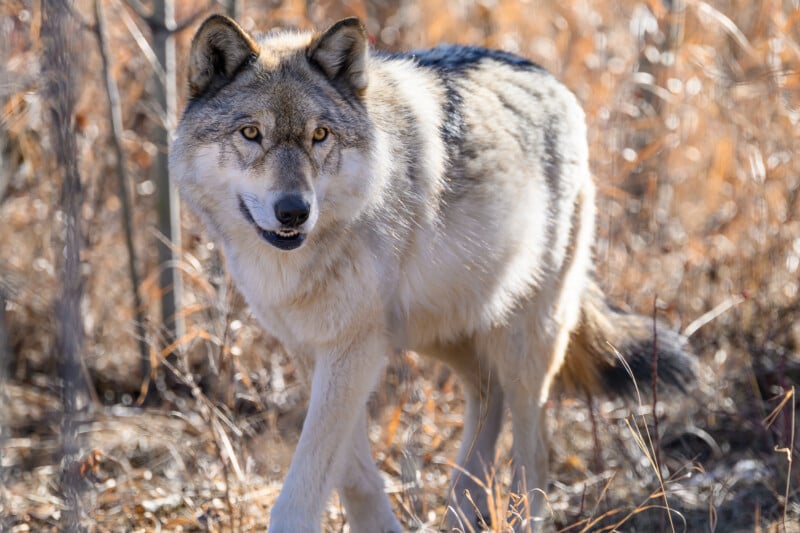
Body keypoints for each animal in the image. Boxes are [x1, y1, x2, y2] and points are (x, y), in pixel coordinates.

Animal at [170, 14, 694, 532]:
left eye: (320, 136)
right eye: (251, 133)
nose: (294, 211)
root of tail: (549, 78)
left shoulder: (354, 349)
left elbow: (304, 485)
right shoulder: (317, 349)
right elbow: (352, 473)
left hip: (526, 341)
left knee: (534, 447)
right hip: (439, 331)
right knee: (487, 394)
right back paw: (462, 509)